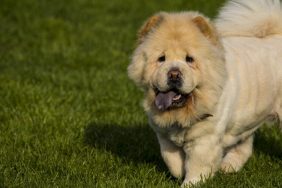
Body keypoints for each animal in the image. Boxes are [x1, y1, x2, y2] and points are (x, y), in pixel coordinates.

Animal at [127, 0, 282, 185]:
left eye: (190, 59)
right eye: (161, 58)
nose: (174, 74)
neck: (184, 111)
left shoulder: (205, 139)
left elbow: (197, 167)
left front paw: (191, 183)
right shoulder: (164, 136)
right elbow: (172, 161)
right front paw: (180, 173)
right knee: (244, 143)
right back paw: (229, 166)